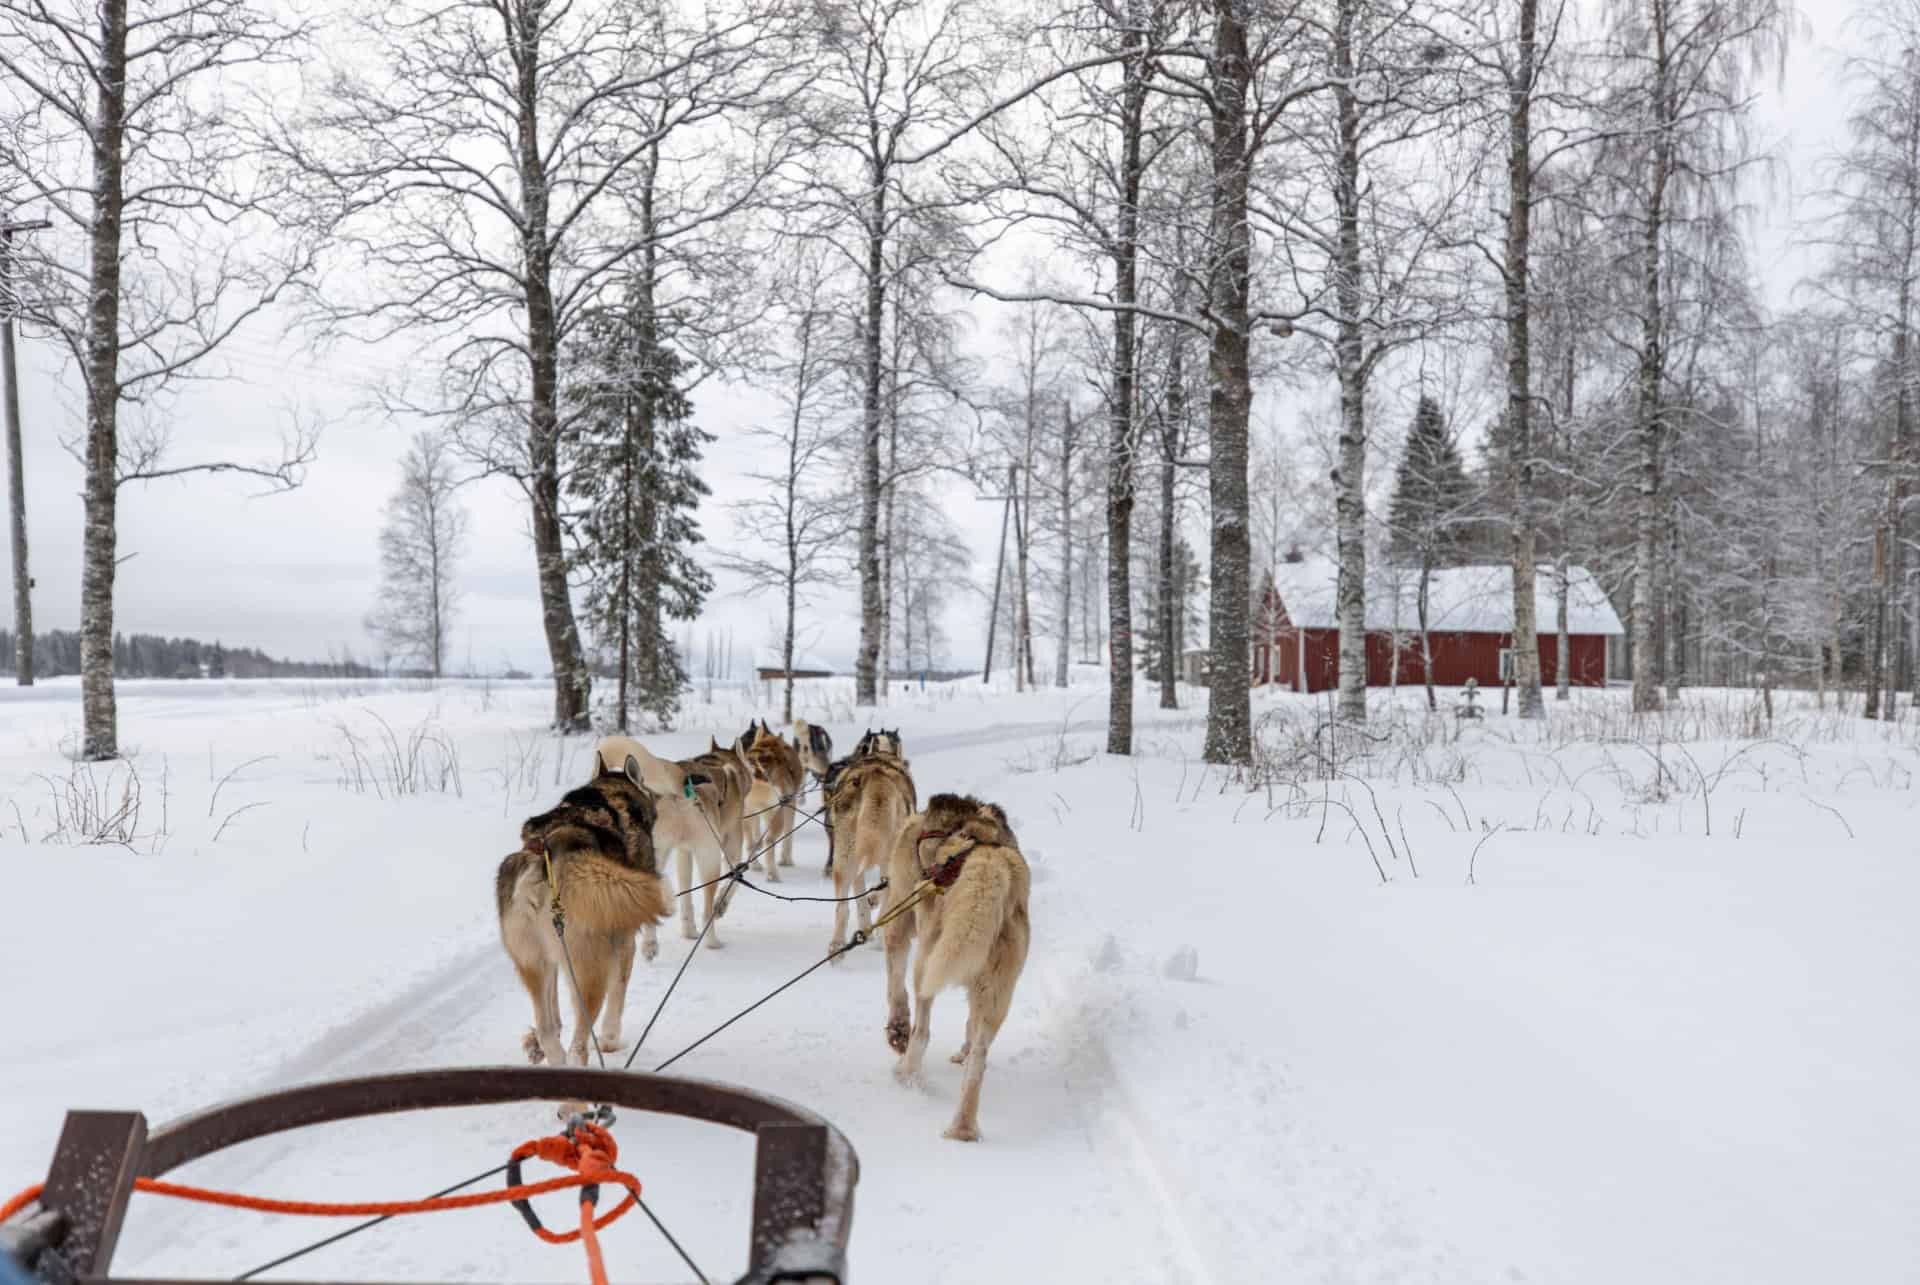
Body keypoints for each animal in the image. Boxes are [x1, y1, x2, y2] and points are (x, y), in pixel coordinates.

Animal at [499, 756, 672, 1067]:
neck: (608, 797)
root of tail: (543, 860)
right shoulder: (623, 942)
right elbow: (618, 996)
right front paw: (611, 1040)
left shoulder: (553, 960)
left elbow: (552, 1017)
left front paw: (533, 1045)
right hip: (591, 972)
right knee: (579, 1045)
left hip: (534, 961)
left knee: (548, 1030)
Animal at [883, 791, 1036, 1144]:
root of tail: (991, 862)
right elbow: (970, 1025)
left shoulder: (899, 916)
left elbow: (895, 984)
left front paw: (897, 1029)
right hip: (996, 991)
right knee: (978, 1060)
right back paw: (963, 1126)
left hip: (927, 962)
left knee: (922, 1030)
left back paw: (906, 1072)